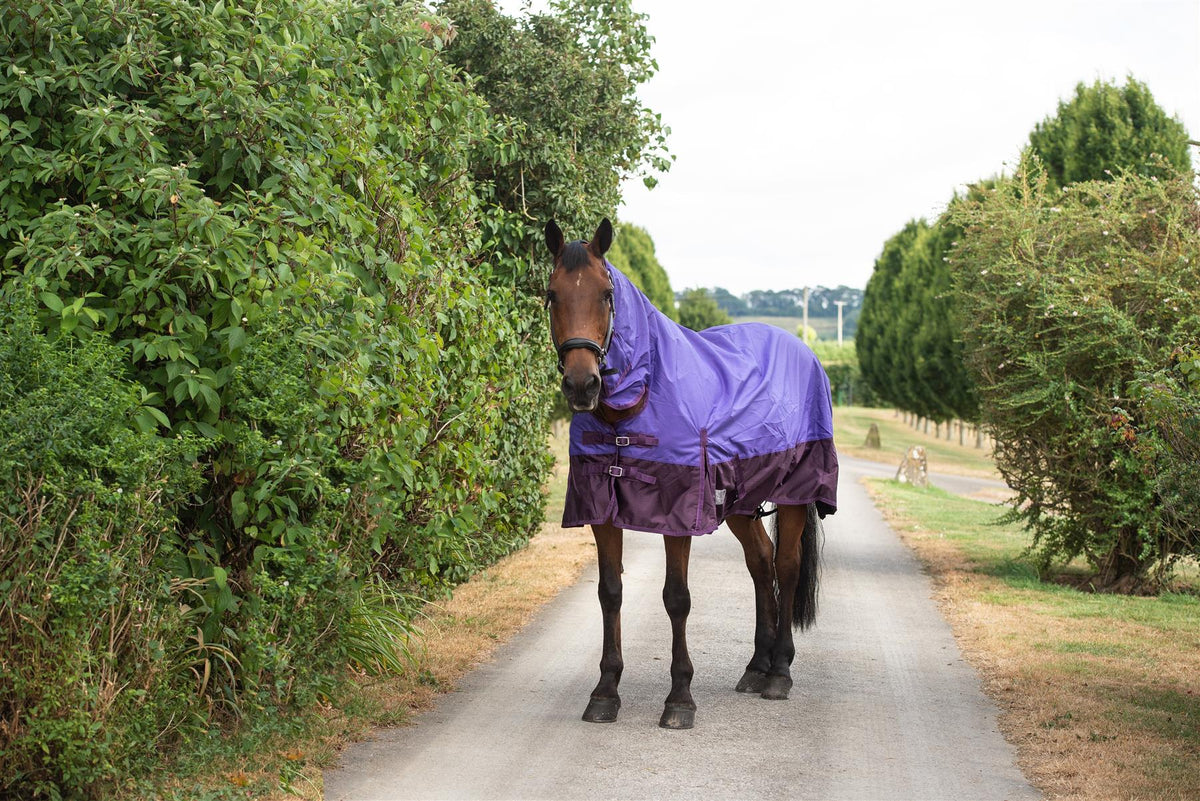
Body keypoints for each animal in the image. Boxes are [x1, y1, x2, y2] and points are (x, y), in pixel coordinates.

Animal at [543, 218, 839, 730]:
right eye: (552, 293)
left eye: (605, 293)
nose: (582, 385)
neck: (638, 399)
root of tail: (802, 350)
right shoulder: (602, 510)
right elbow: (610, 593)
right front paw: (605, 691)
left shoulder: (678, 514)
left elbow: (676, 598)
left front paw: (680, 698)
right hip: (739, 503)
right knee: (760, 562)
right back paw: (756, 667)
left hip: (795, 494)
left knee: (785, 565)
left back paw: (779, 672)